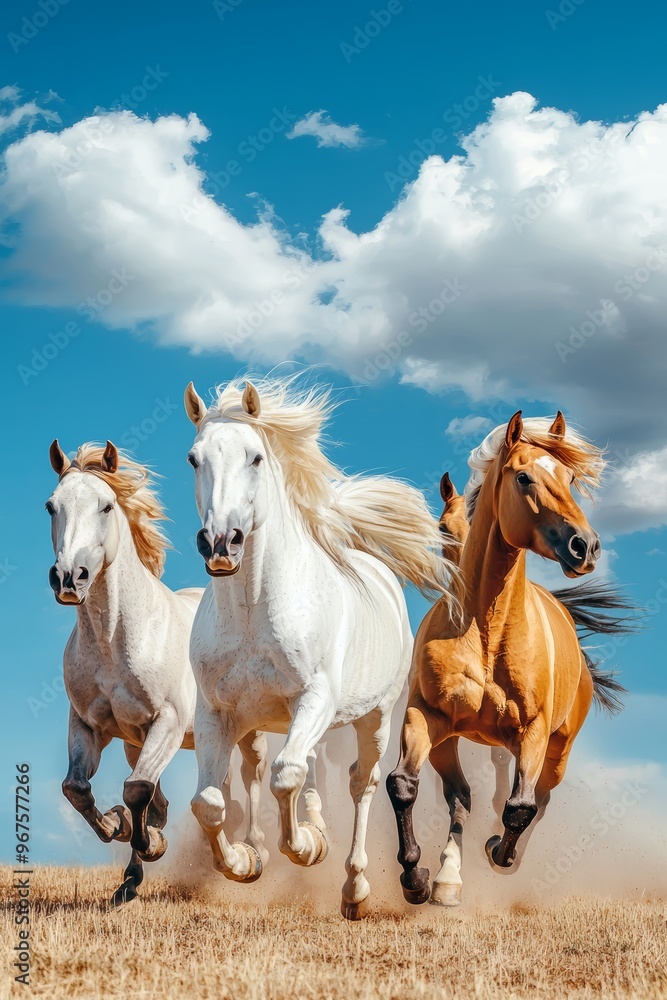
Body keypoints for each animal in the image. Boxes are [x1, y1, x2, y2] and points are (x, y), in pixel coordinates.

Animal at [47, 440, 269, 906]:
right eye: (51, 506)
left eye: (106, 505)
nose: (69, 578)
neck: (115, 639)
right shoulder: (89, 726)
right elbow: (78, 788)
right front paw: (121, 828)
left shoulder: (167, 720)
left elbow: (137, 790)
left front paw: (149, 842)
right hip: (145, 740)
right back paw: (134, 872)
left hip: (248, 731)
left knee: (251, 775)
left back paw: (253, 853)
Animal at [183, 376, 456, 919]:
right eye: (193, 458)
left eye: (255, 457)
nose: (221, 543)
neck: (252, 611)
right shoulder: (216, 712)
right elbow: (210, 801)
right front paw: (242, 862)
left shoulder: (314, 698)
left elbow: (286, 776)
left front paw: (307, 846)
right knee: (290, 768)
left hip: (375, 718)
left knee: (360, 783)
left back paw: (355, 888)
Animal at [387, 411, 630, 907]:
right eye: (523, 477)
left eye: (571, 478)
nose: (586, 546)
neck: (486, 631)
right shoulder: (428, 717)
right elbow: (405, 785)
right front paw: (416, 878)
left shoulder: (532, 732)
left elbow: (520, 807)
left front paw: (499, 850)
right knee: (462, 796)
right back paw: (448, 879)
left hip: (558, 749)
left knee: (539, 799)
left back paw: (504, 856)